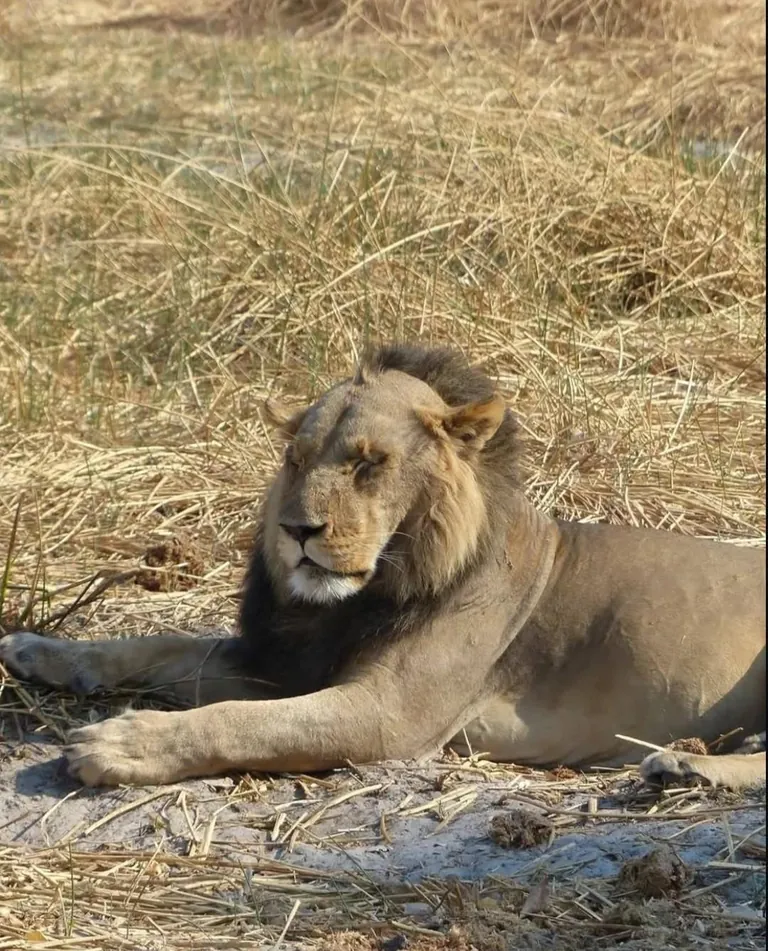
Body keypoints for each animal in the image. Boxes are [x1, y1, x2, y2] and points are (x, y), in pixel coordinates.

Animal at [0, 344, 765, 790]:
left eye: (369, 464)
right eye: (296, 459)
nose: (298, 529)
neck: (357, 598)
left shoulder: (389, 715)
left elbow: (241, 722)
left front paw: (119, 744)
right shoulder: (286, 661)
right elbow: (162, 646)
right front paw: (41, 649)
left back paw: (683, 765)